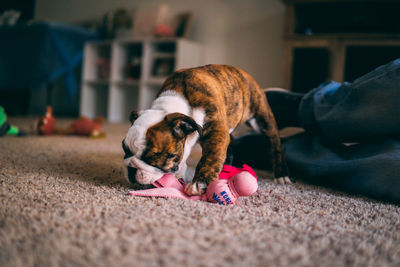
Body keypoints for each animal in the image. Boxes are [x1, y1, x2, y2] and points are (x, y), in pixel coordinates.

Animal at [122, 64, 290, 196]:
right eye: (125, 149)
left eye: (153, 158)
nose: (131, 169)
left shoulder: (215, 132)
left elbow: (210, 158)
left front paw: (200, 183)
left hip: (262, 119)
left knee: (275, 143)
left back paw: (281, 174)